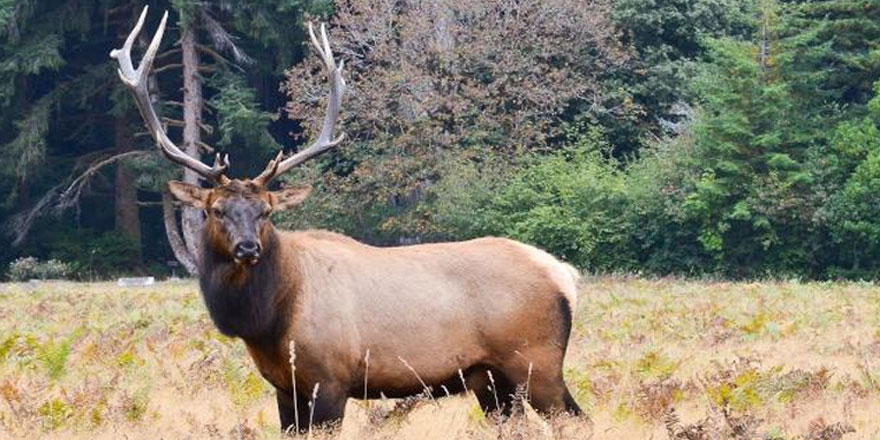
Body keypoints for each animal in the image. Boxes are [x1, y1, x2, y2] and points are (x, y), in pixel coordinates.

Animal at [111, 7, 584, 434]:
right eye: (215, 210)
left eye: (266, 211)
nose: (248, 247)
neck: (270, 320)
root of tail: (564, 274)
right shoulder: (284, 388)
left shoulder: (330, 380)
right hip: (490, 379)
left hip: (536, 361)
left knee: (575, 420)